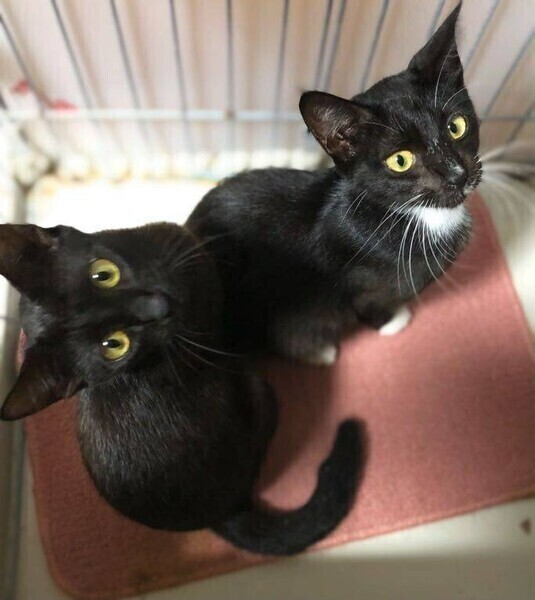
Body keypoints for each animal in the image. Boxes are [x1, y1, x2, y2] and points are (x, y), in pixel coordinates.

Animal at [187, 2, 481, 365]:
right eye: (400, 160)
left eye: (456, 126)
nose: (458, 174)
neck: (419, 216)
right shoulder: (364, 287)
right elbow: (369, 304)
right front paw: (393, 321)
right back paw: (319, 350)